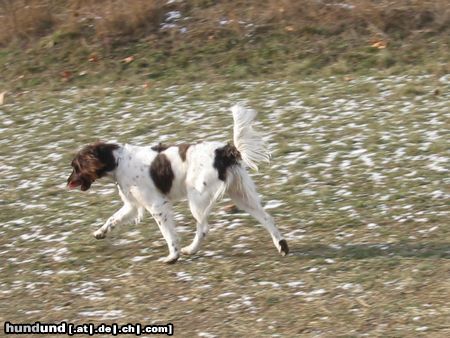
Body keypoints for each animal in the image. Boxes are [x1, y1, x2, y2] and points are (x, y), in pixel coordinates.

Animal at [68, 104, 290, 262]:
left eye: (75, 167)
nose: (67, 182)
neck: (118, 161)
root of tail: (225, 151)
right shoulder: (133, 205)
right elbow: (112, 219)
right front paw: (100, 233)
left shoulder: (157, 206)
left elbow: (168, 234)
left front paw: (172, 256)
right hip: (241, 196)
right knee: (267, 217)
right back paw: (282, 246)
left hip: (198, 199)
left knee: (203, 228)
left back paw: (190, 250)